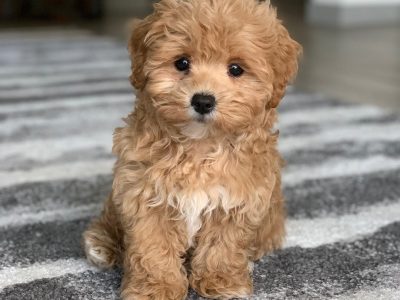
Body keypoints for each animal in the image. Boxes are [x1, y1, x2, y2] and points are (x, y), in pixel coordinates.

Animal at [82, 1, 300, 298]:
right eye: (182, 63)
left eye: (236, 69)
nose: (203, 101)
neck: (199, 146)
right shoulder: (144, 194)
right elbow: (152, 247)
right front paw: (156, 287)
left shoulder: (237, 199)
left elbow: (223, 243)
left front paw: (222, 280)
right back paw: (101, 245)